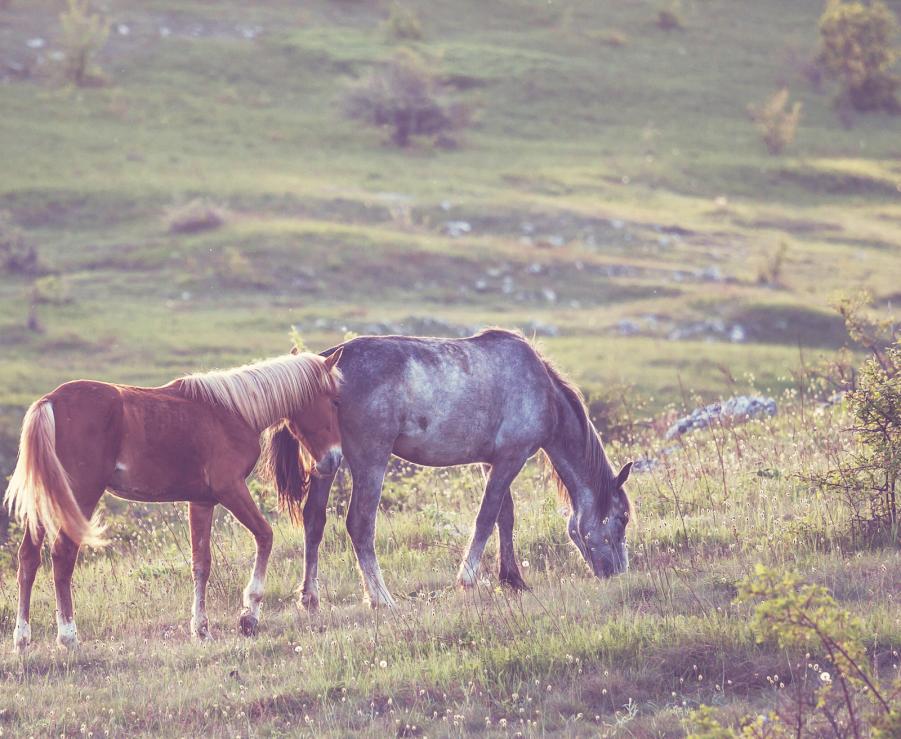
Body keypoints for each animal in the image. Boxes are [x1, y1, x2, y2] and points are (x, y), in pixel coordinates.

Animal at [4, 348, 344, 651]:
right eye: (334, 400)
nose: (334, 459)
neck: (232, 412)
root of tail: (50, 402)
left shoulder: (202, 502)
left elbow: (201, 563)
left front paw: (201, 629)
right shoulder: (230, 489)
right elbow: (264, 535)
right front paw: (249, 617)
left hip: (46, 503)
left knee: (29, 558)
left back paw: (22, 639)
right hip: (80, 497)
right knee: (62, 556)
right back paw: (68, 637)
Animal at [267, 329, 633, 610]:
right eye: (622, 519)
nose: (618, 572)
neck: (542, 390)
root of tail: (329, 360)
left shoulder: (491, 461)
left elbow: (505, 516)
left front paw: (513, 578)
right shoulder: (511, 459)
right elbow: (486, 517)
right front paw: (467, 579)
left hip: (325, 463)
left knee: (314, 519)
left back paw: (310, 598)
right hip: (370, 460)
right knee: (360, 524)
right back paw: (381, 598)